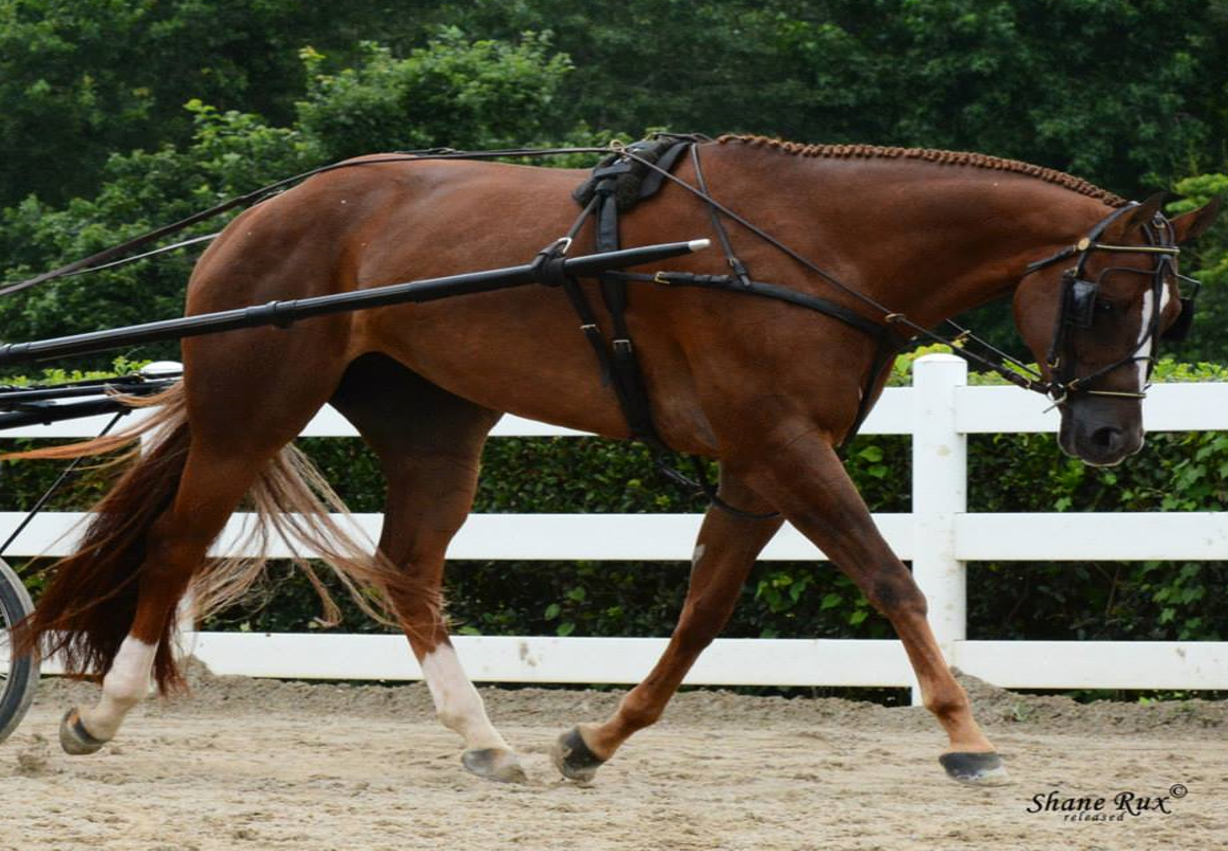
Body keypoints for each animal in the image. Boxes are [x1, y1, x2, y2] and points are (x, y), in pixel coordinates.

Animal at [11, 132, 1218, 781]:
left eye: (1171, 312)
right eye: (1102, 298)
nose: (1111, 438)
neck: (806, 244)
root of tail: (267, 214)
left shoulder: (759, 462)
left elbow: (702, 609)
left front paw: (592, 738)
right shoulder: (783, 445)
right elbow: (892, 580)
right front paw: (966, 737)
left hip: (436, 426)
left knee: (410, 568)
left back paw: (483, 737)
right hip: (251, 405)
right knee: (177, 545)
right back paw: (97, 714)